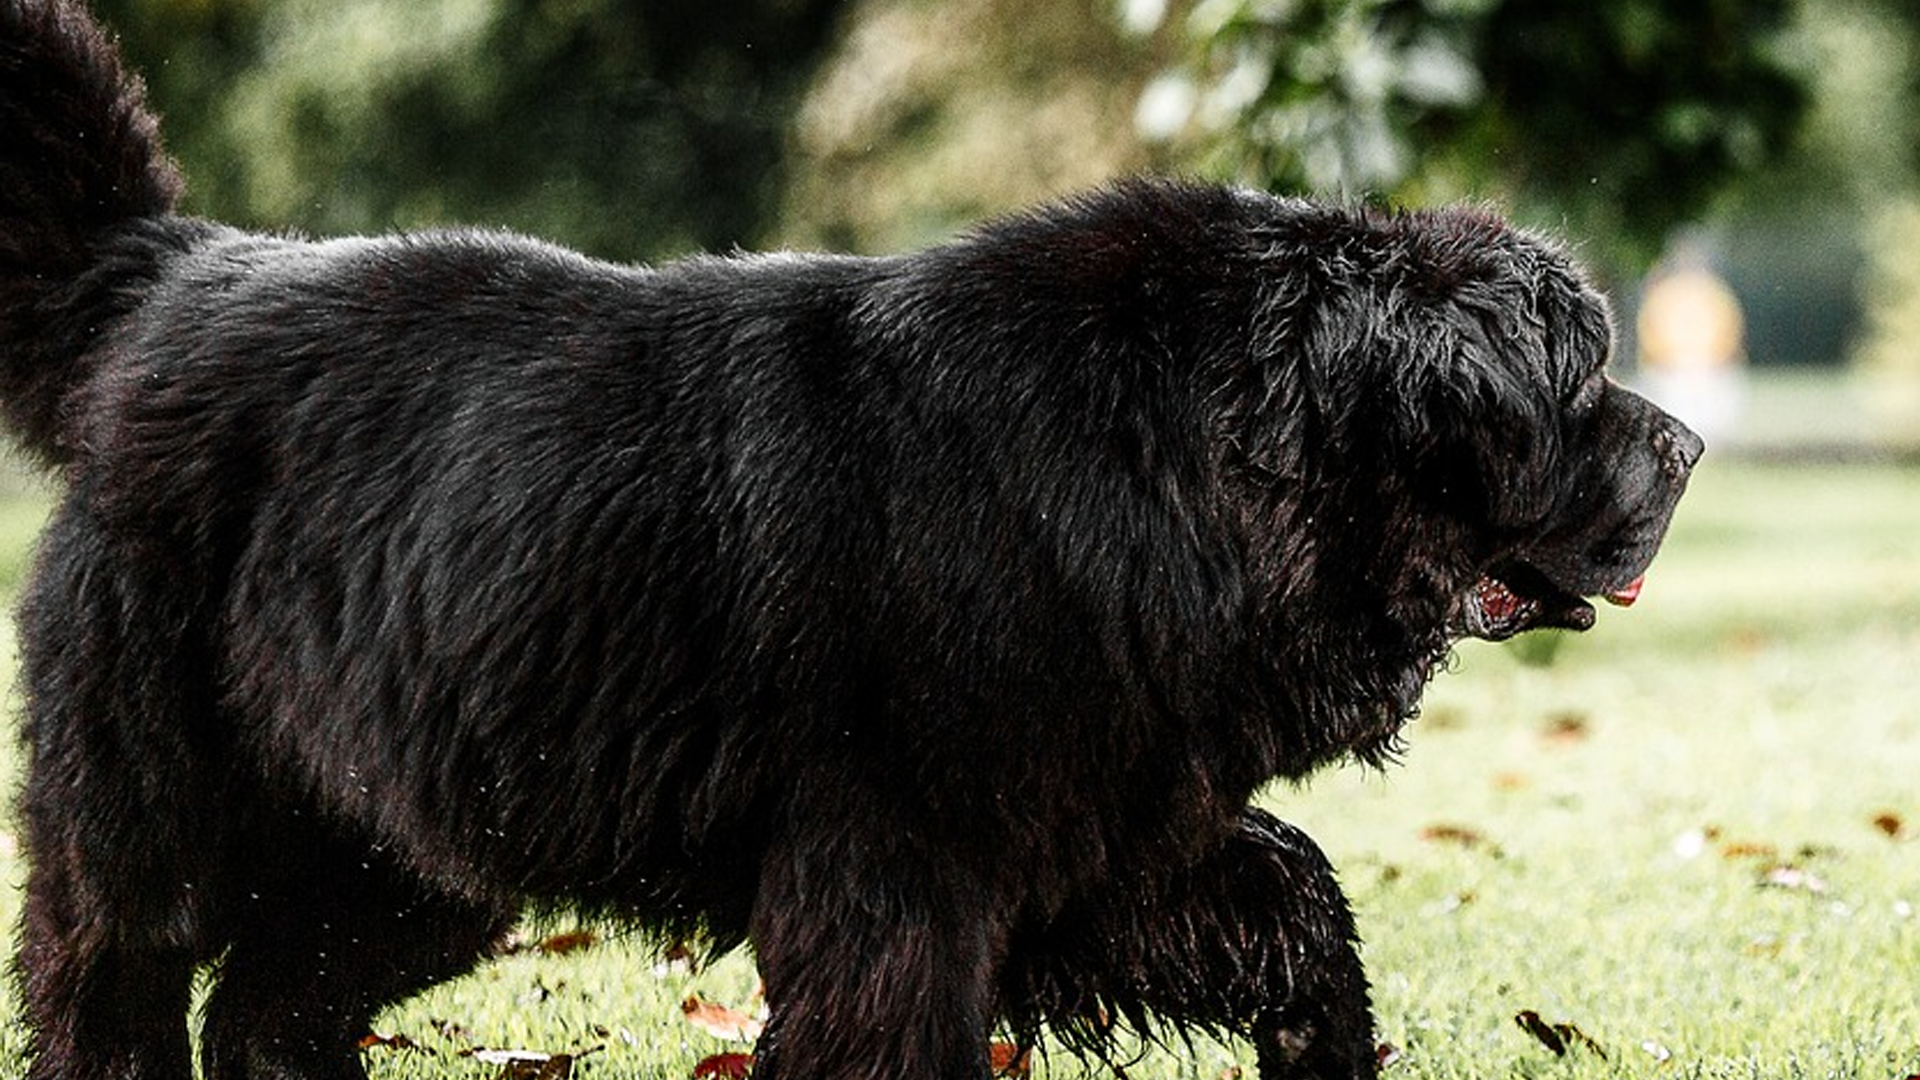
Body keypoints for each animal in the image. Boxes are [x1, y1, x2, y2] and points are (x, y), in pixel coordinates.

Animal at [3, 2, 1712, 1076]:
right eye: (1575, 383)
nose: (1690, 444)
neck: (1181, 459)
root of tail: (172, 272)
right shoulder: (895, 871)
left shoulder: (1103, 824)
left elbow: (1293, 901)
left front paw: (1328, 1046)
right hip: (157, 795)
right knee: (119, 979)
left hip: (412, 831)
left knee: (273, 1007)